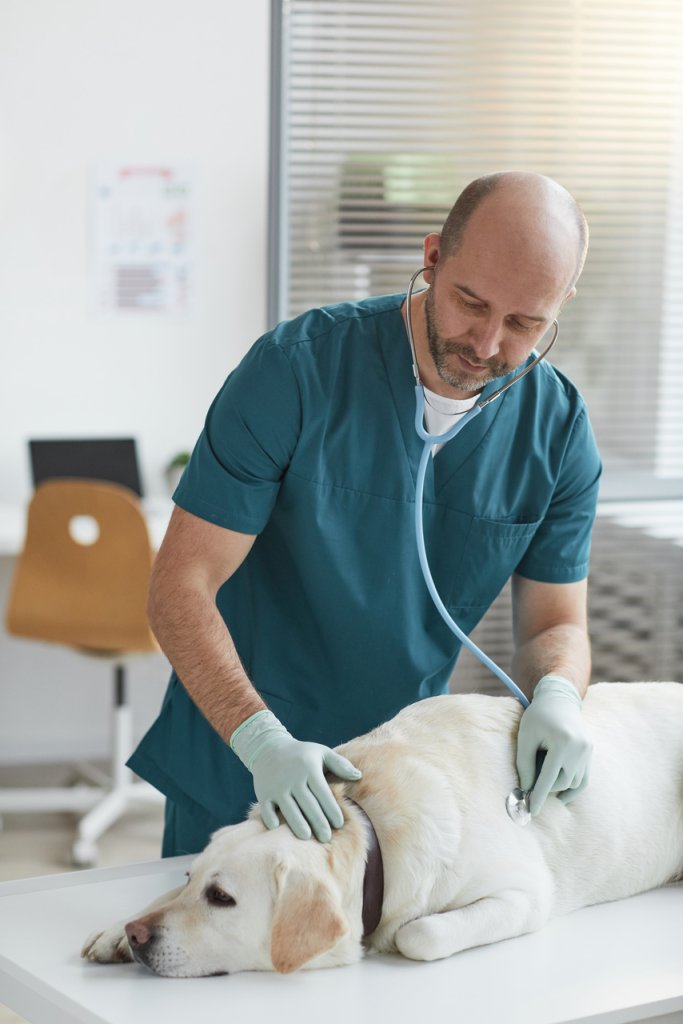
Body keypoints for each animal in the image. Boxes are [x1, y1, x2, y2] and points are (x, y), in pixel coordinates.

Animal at [82, 679, 683, 974]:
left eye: (222, 898)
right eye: (191, 880)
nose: (139, 937)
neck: (365, 820)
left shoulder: (524, 895)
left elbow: (420, 932)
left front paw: (395, 938)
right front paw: (115, 929)